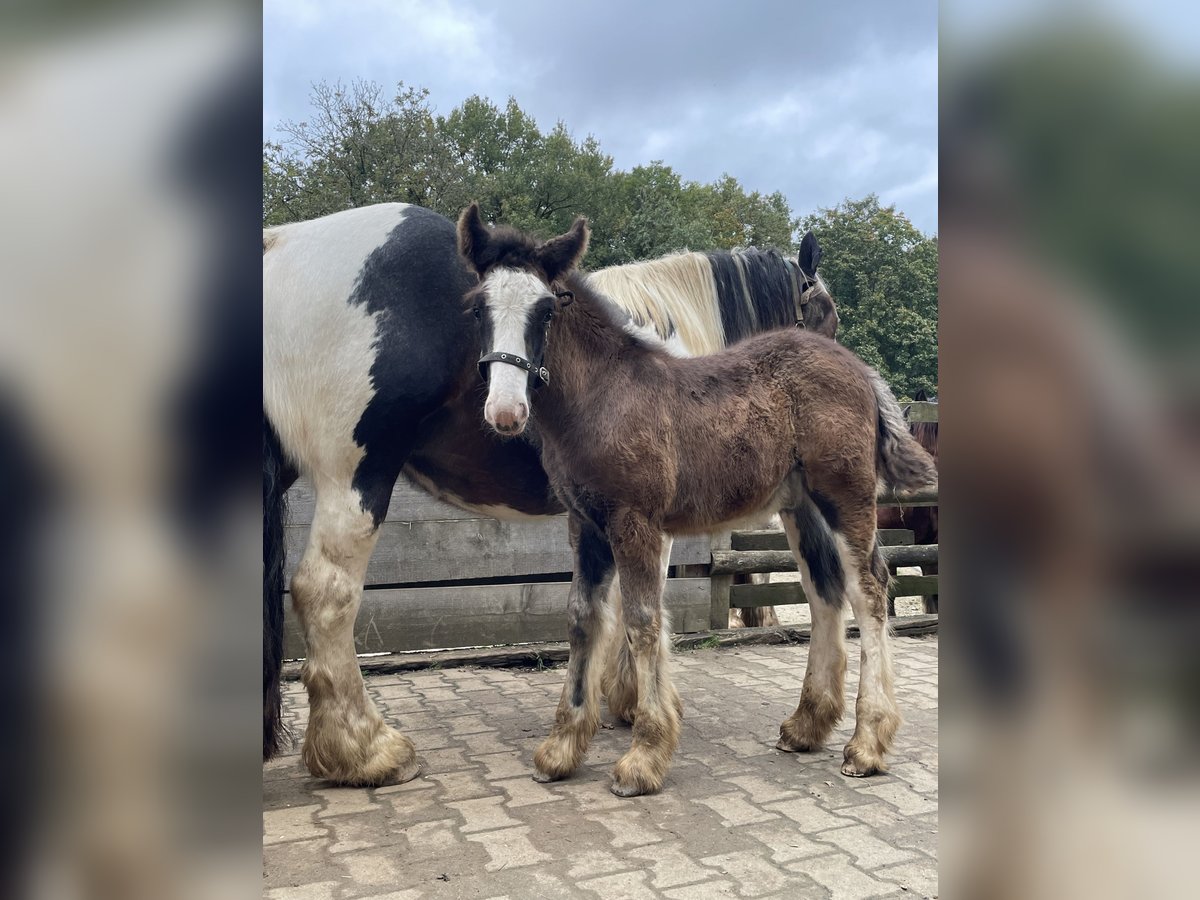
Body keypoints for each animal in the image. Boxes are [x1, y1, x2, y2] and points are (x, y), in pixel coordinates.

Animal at [266, 200, 840, 787]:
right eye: (826, 314)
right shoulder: (645, 520)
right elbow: (640, 608)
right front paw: (635, 703)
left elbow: (610, 608)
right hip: (357, 474)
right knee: (324, 591)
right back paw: (365, 749)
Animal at [458, 204, 936, 796]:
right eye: (477, 308)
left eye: (546, 310)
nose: (505, 412)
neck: (604, 395)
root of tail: (860, 370)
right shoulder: (585, 525)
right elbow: (582, 618)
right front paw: (562, 748)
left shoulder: (636, 521)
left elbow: (643, 619)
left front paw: (644, 755)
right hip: (802, 506)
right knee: (825, 588)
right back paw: (806, 725)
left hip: (846, 498)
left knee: (869, 590)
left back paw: (867, 743)